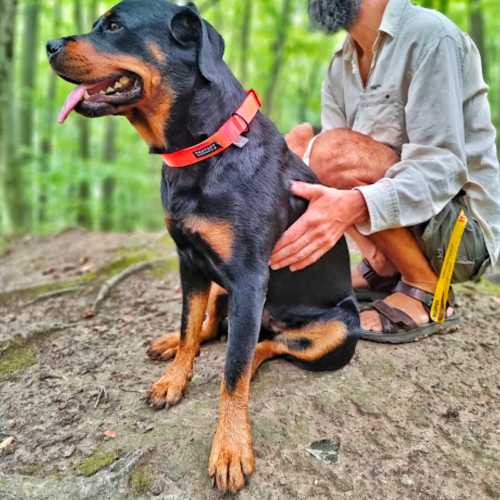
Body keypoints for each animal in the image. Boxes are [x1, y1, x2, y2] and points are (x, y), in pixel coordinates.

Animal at [46, 0, 360, 492]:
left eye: (114, 26)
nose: (49, 45)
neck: (205, 148)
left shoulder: (250, 279)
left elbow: (232, 374)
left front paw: (230, 448)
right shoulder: (189, 262)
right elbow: (190, 325)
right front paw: (174, 377)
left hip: (339, 329)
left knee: (268, 346)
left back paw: (255, 353)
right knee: (216, 326)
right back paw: (173, 342)